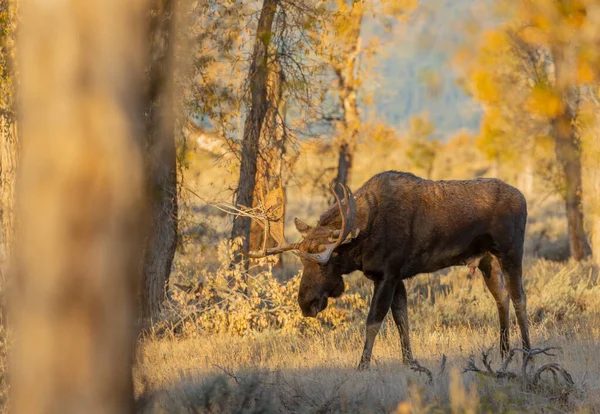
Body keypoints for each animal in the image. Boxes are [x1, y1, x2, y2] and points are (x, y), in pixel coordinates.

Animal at [244, 170, 528, 370]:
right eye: (302, 262)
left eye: (328, 260)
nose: (306, 303)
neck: (362, 238)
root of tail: (523, 198)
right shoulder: (395, 277)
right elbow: (402, 319)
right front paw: (410, 362)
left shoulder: (388, 275)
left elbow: (373, 321)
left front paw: (362, 365)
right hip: (487, 260)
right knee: (502, 297)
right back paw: (504, 351)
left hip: (511, 252)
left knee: (519, 298)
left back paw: (527, 353)